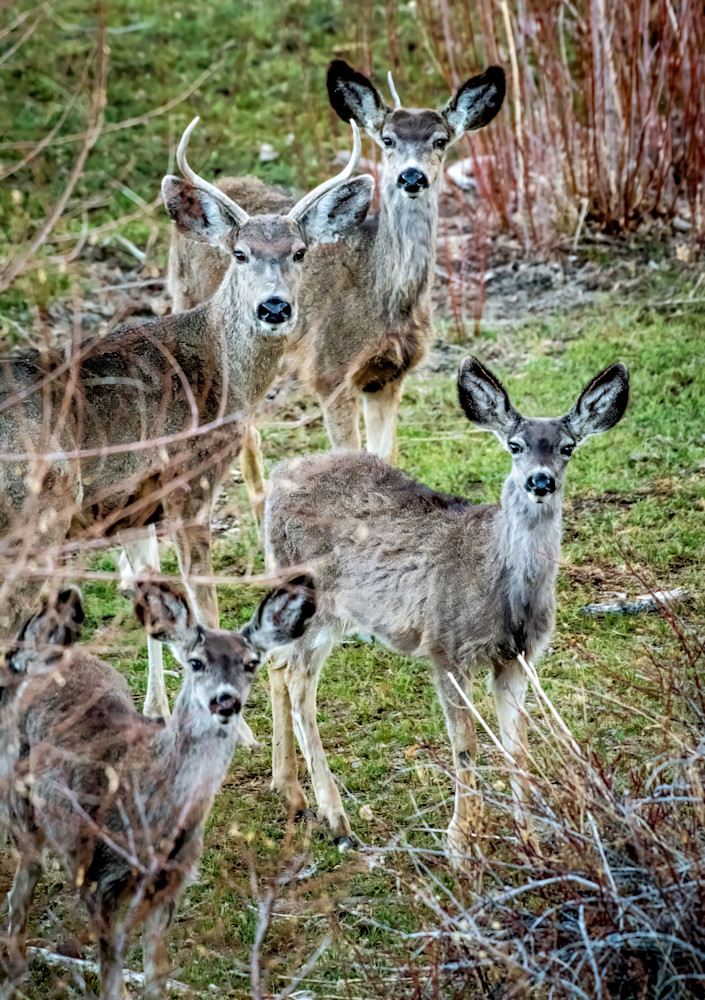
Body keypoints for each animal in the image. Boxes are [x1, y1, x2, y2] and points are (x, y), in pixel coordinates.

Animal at [0, 117, 371, 730]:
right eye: (239, 253)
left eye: (299, 252)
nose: (274, 308)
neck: (219, 371)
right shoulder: (189, 483)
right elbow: (206, 603)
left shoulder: (132, 507)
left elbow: (152, 603)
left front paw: (156, 710)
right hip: (37, 517)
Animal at [0, 576, 316, 999]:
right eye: (195, 662)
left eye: (251, 663)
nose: (225, 701)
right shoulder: (96, 874)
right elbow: (111, 976)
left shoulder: (172, 882)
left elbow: (156, 975)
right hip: (19, 805)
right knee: (21, 886)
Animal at [168, 60, 505, 499]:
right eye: (387, 139)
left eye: (440, 140)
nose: (412, 177)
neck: (383, 297)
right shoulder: (328, 369)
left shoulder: (389, 375)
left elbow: (386, 457)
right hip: (191, 303)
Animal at [262, 358, 629, 861]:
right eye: (514, 445)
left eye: (567, 448)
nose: (540, 481)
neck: (502, 590)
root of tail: (277, 476)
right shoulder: (447, 646)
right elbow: (466, 744)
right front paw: (460, 843)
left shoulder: (517, 658)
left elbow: (518, 746)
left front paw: (531, 841)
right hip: (316, 600)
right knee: (300, 681)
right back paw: (337, 821)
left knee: (276, 663)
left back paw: (291, 794)